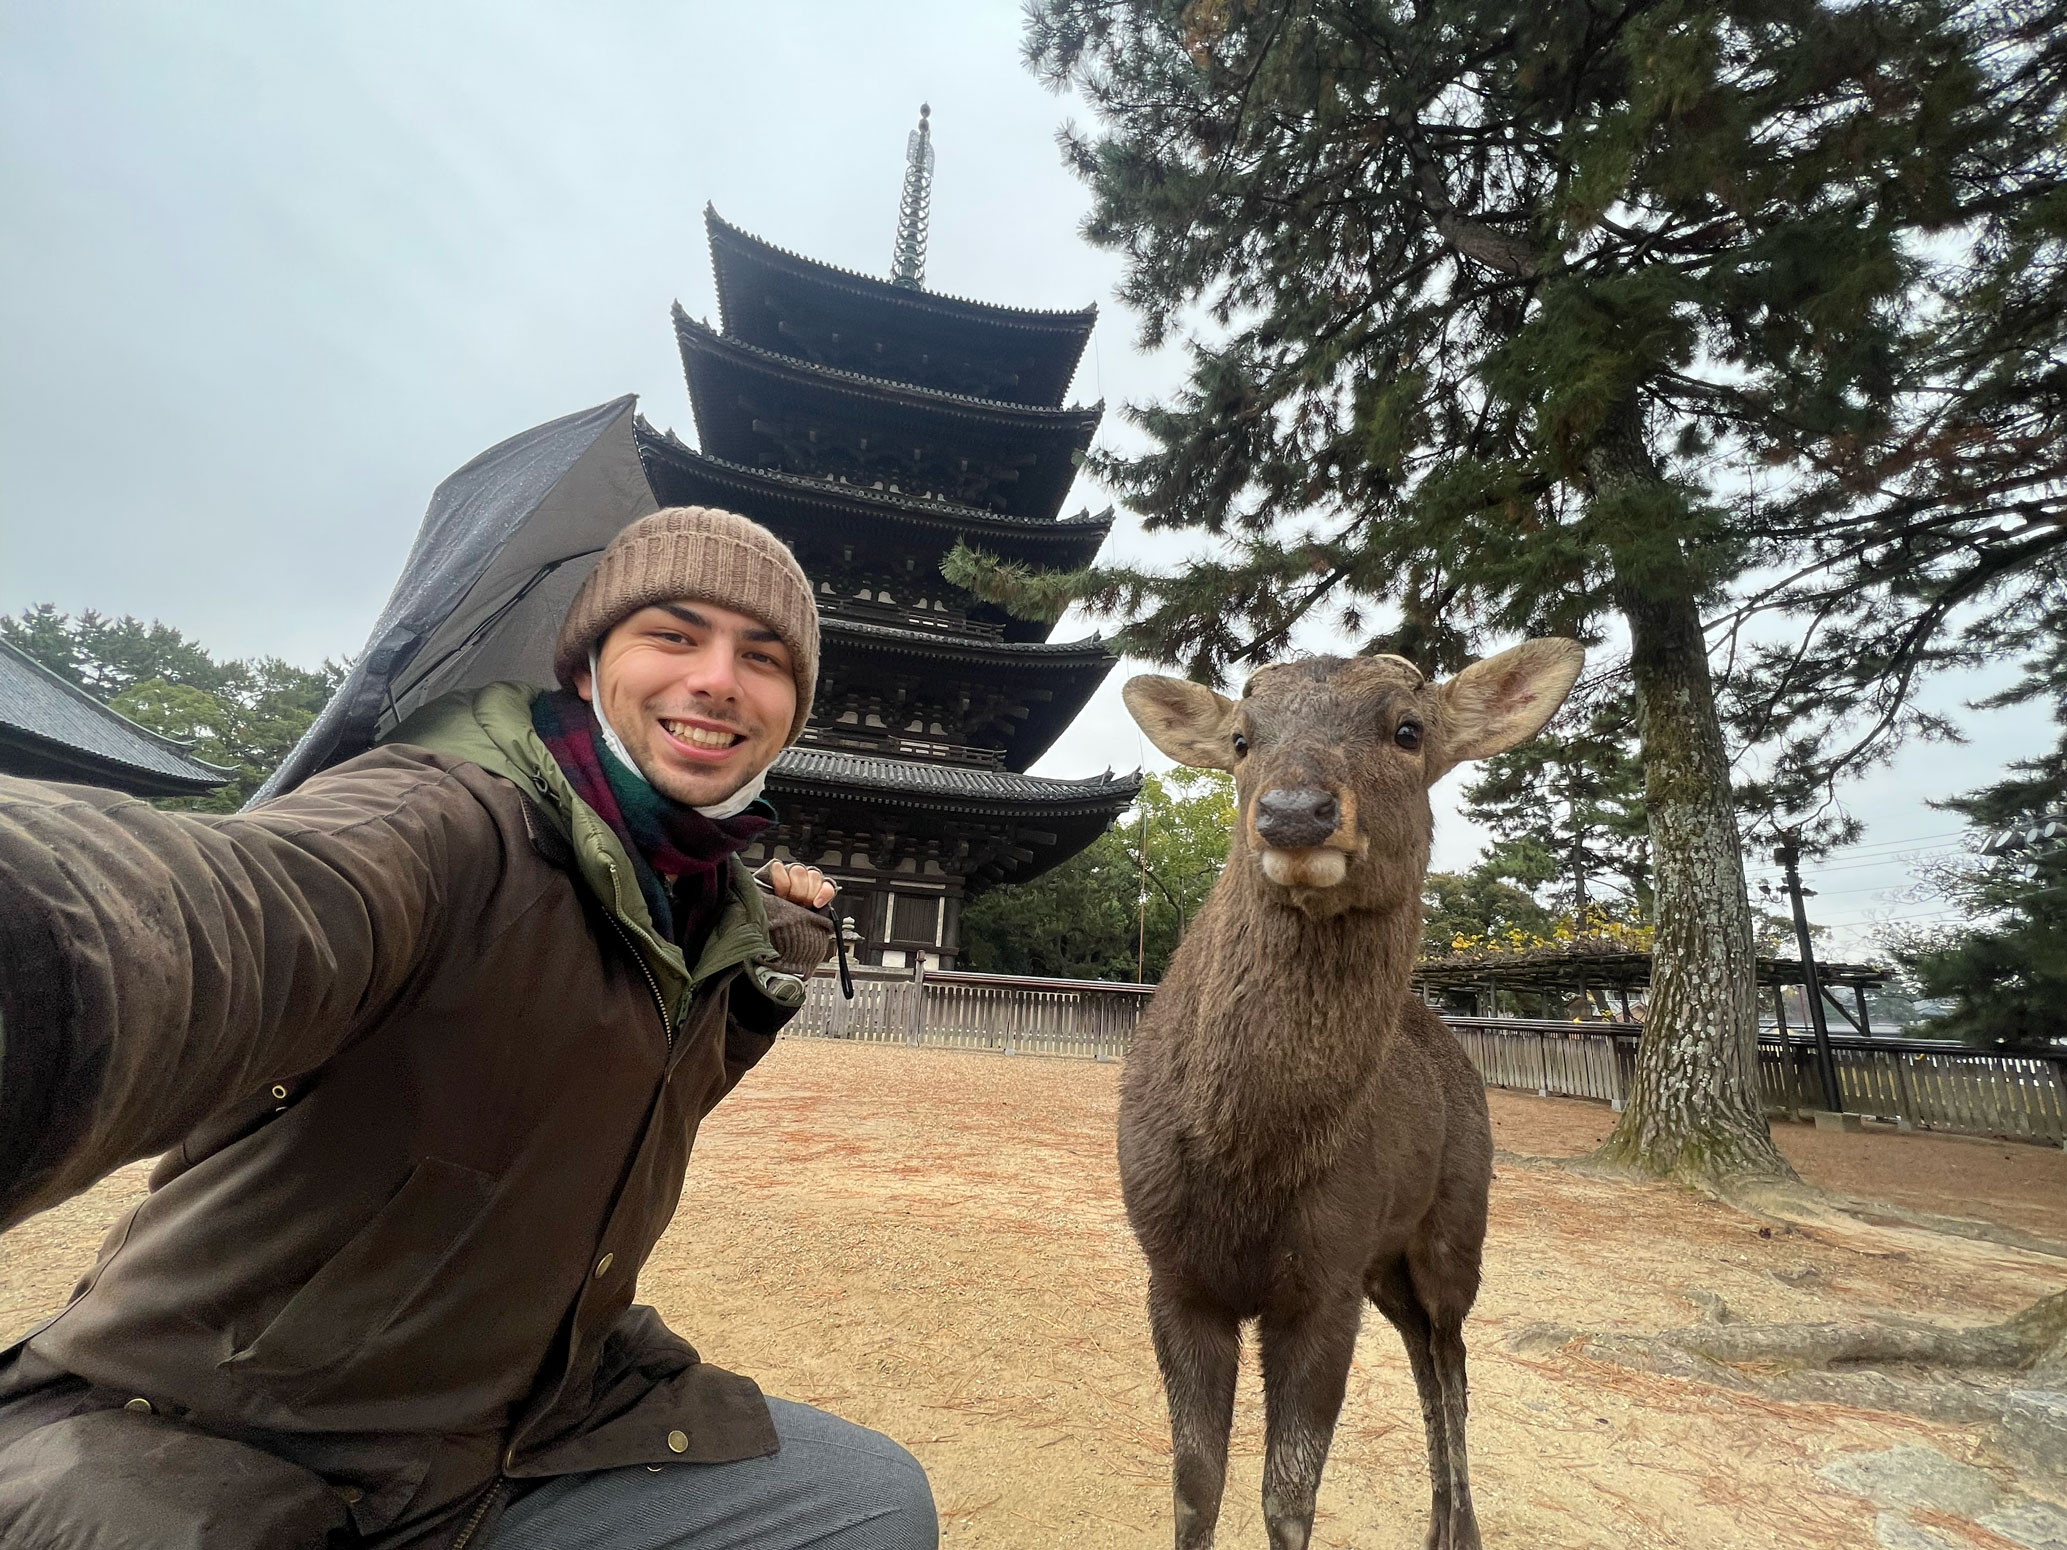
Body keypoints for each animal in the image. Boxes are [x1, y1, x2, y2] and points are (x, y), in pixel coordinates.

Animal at [1116, 640, 1579, 1550]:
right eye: (1241, 738)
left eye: (1407, 730)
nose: (1294, 813)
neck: (1247, 1162)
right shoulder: (1172, 1275)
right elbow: (1194, 1487)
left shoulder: (1324, 1283)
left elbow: (1287, 1497)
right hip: (1384, 1262)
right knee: (1424, 1356)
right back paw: (1435, 1526)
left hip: (1455, 1226)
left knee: (1450, 1359)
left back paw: (1460, 1531)